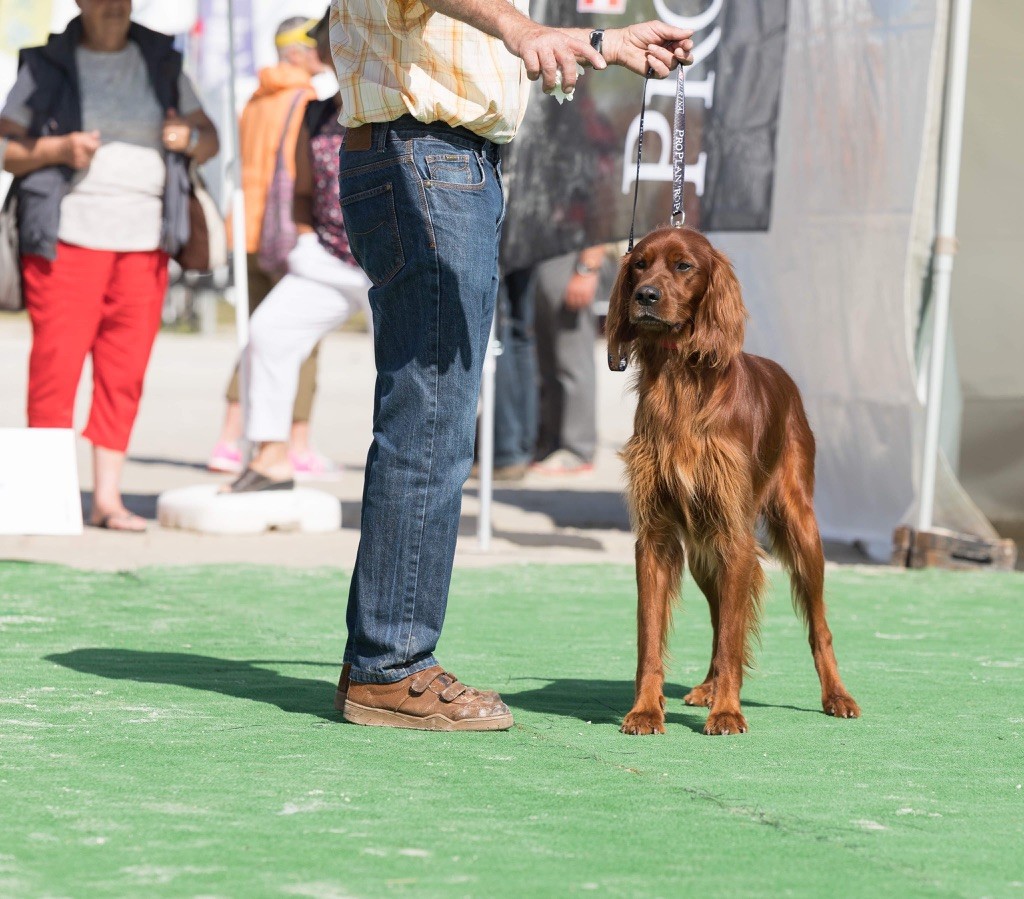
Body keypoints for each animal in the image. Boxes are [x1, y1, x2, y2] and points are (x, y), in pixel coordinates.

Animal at [602, 227, 860, 737]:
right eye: (639, 264)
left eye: (684, 266)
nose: (645, 296)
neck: (680, 378)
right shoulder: (656, 538)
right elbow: (651, 638)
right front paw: (645, 710)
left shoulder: (736, 534)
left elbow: (732, 638)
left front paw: (726, 712)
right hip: (705, 550)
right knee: (721, 616)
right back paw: (706, 687)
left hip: (799, 529)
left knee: (815, 625)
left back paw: (836, 696)